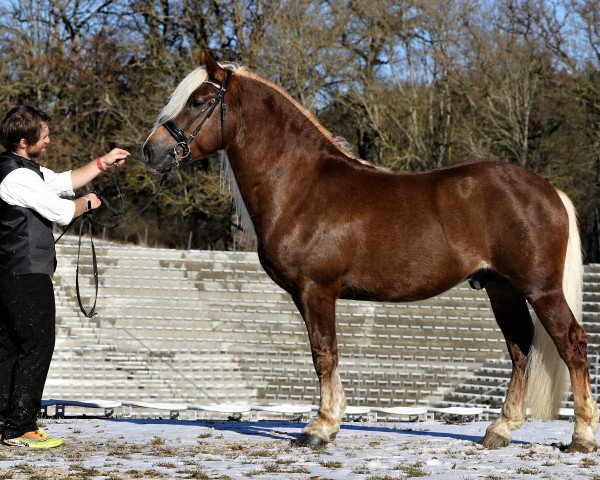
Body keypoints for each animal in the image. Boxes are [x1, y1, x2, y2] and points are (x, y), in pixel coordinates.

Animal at [143, 52, 596, 454]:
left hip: (540, 289)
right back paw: (500, 430)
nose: (151, 151)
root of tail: (548, 190)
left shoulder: (316, 290)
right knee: (520, 347)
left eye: (198, 100)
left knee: (571, 343)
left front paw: (320, 428)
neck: (302, 186)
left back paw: (582, 437)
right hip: (501, 288)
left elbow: (324, 354)